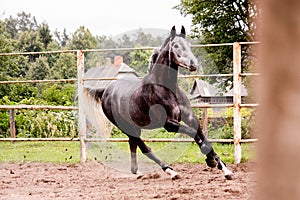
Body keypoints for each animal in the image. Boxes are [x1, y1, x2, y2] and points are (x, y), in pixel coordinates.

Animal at [84, 25, 234, 180]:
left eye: (189, 45)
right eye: (176, 45)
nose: (193, 65)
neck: (166, 88)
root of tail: (105, 90)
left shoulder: (190, 117)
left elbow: (201, 134)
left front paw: (222, 167)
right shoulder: (168, 124)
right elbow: (194, 133)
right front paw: (210, 159)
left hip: (134, 127)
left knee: (133, 144)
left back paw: (137, 172)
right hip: (126, 126)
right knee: (143, 146)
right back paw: (170, 171)